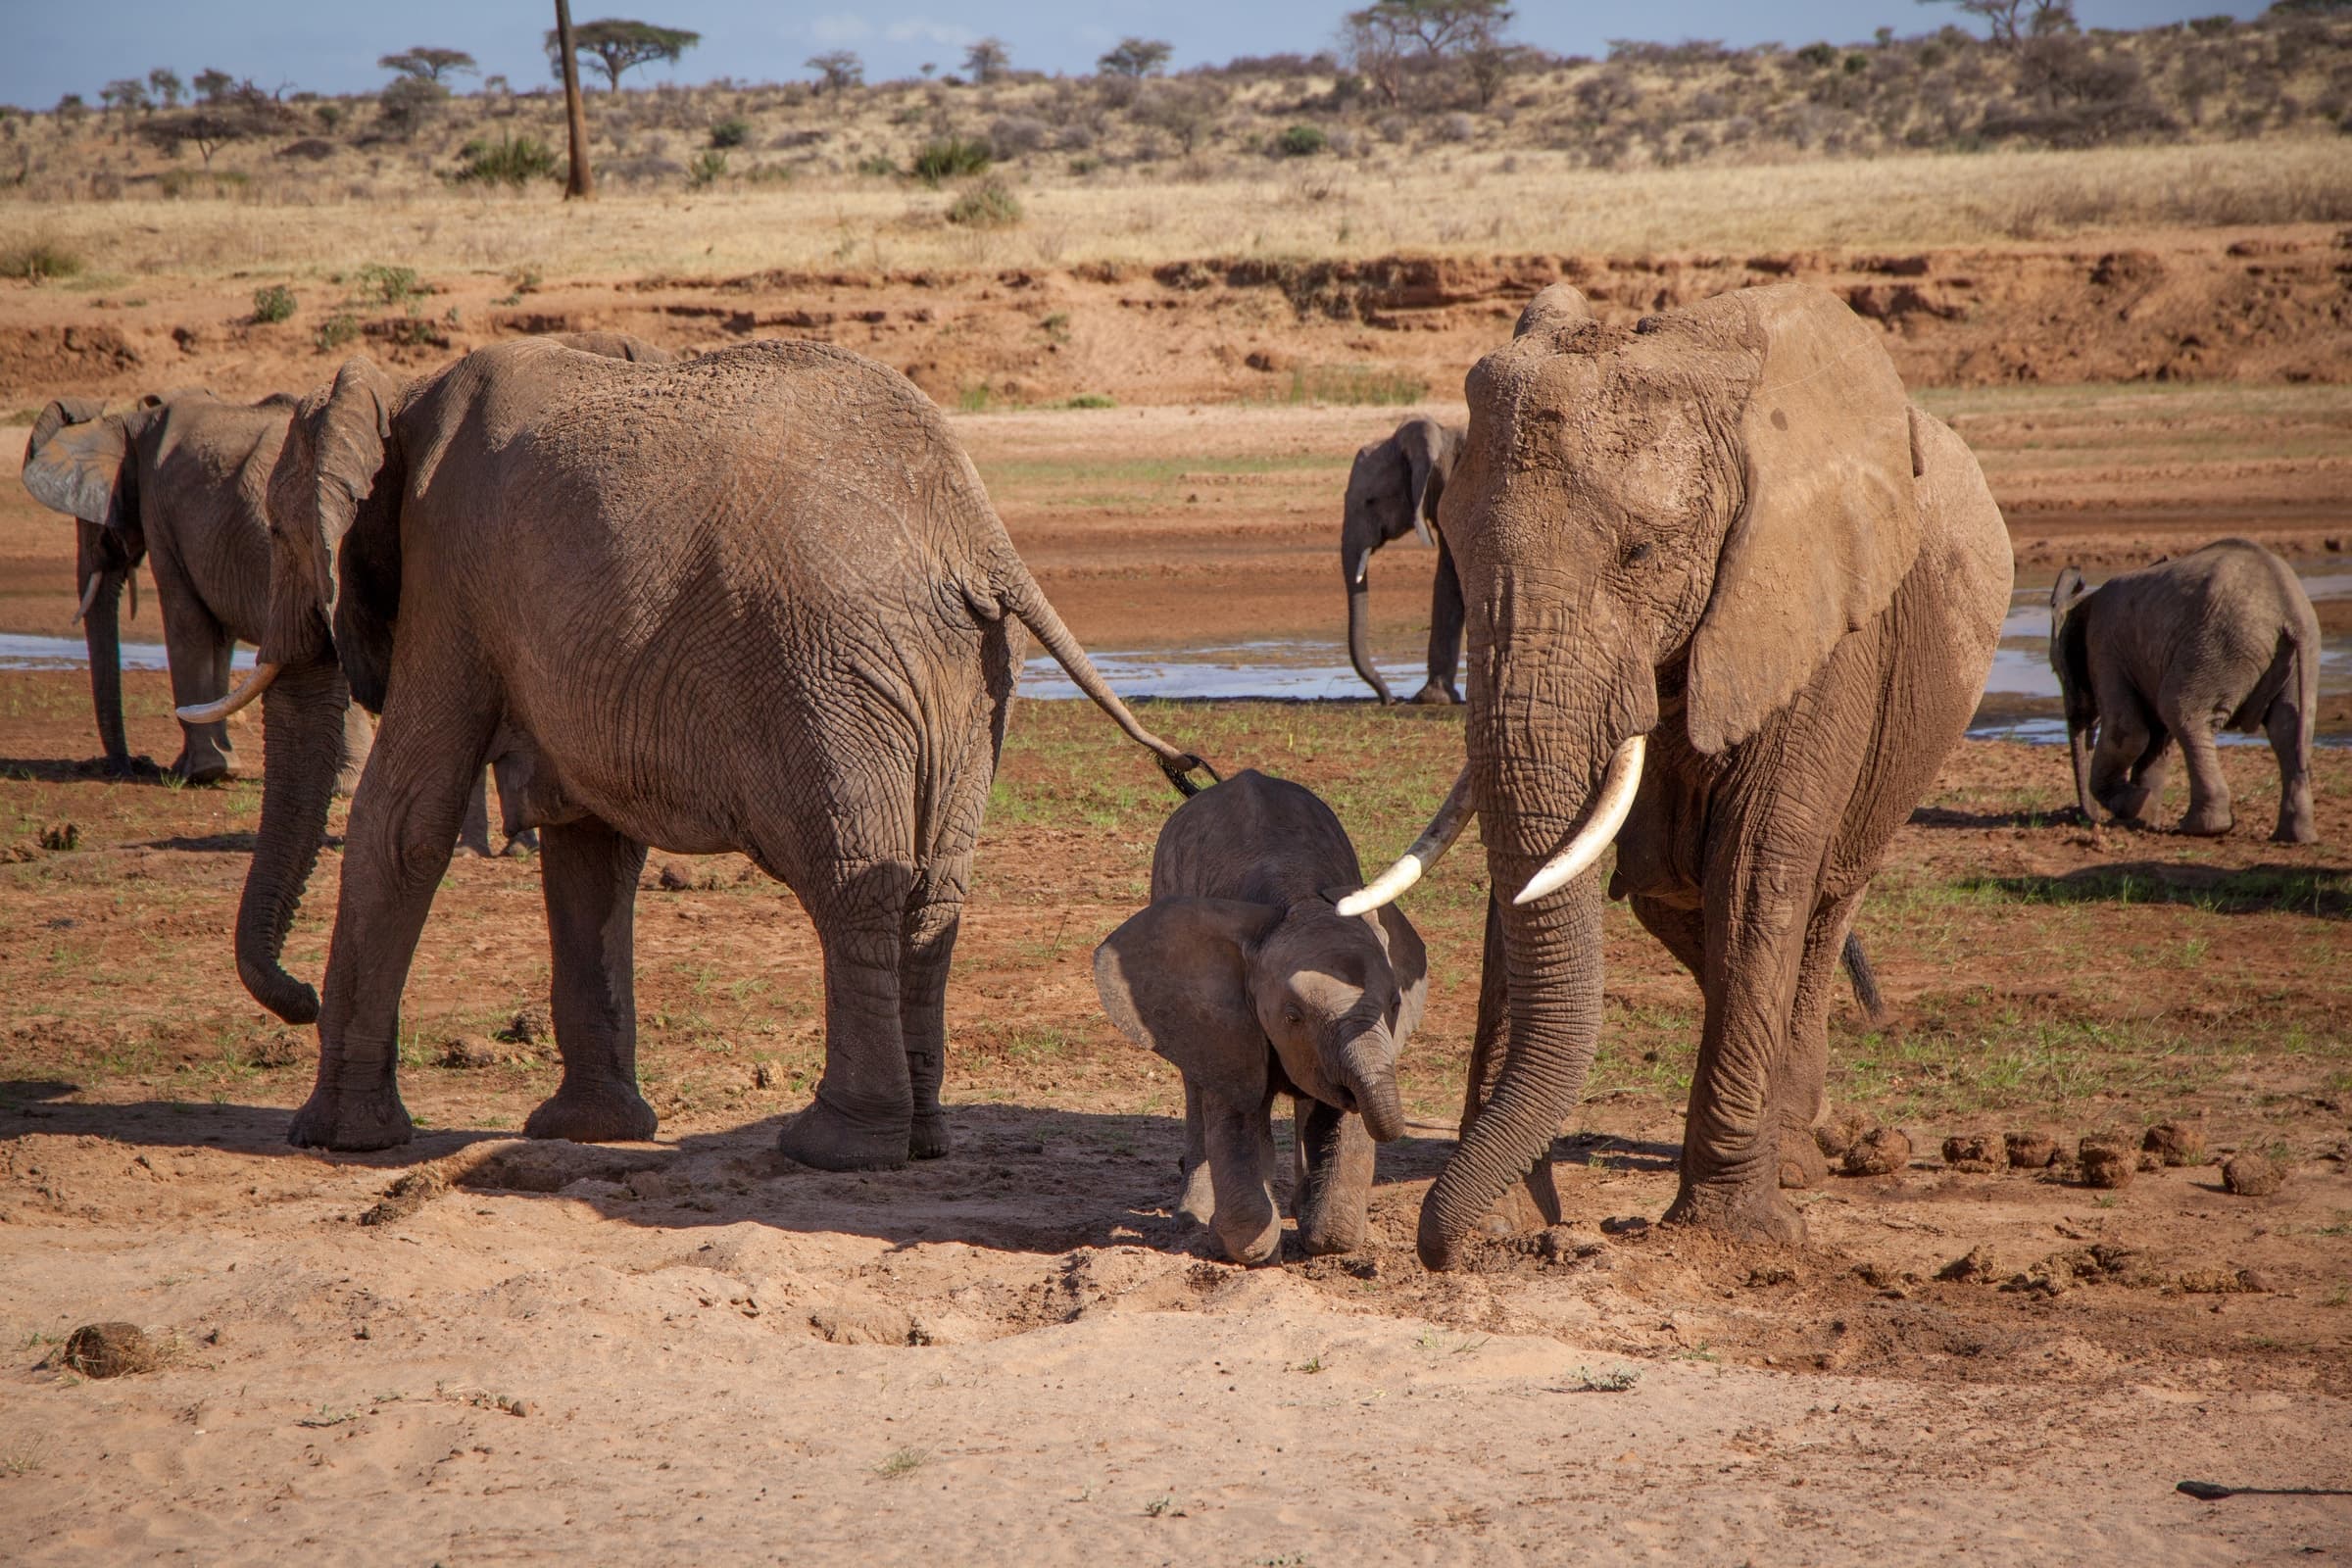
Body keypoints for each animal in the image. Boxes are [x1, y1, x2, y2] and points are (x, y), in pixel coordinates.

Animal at [206, 335, 1213, 1163]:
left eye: (281, 535)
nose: (293, 999)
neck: (403, 391)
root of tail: (974, 529)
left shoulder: (450, 576)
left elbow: (406, 818)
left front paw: (333, 1139)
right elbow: (589, 848)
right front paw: (588, 1132)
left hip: (828, 671)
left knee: (854, 882)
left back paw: (835, 1148)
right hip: (970, 679)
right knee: (932, 894)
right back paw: (921, 1142)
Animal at [1094, 769, 1423, 1264]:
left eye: (1395, 1006)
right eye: (1292, 1017)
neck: (1298, 896)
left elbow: (1341, 1131)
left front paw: (1316, 1228)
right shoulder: (1226, 1020)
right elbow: (1237, 1115)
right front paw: (1241, 1243)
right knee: (1196, 1084)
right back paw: (1191, 1216)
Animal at [2049, 540, 2318, 843]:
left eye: (2056, 671)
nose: (2086, 819)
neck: (2084, 601)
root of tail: (2290, 609)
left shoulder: (2103, 646)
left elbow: (2129, 732)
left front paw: (2134, 806)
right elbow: (2155, 739)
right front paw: (2140, 817)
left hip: (2219, 647)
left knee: (2179, 710)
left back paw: (2202, 828)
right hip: (2291, 657)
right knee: (2289, 730)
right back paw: (2293, 837)